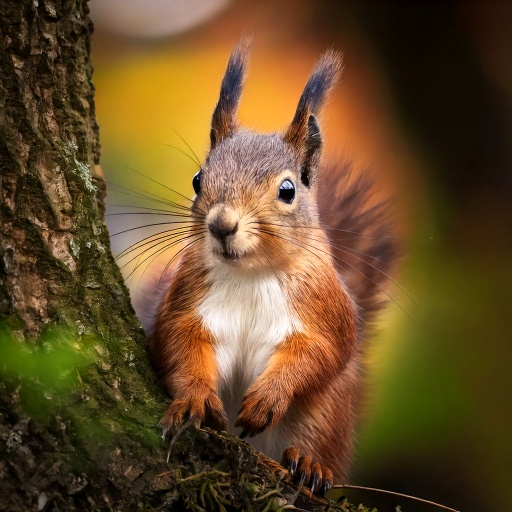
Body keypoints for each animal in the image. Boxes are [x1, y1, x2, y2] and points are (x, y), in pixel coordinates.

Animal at [139, 42, 400, 498]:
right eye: (197, 179)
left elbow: (320, 352)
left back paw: (310, 465)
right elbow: (179, 343)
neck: (250, 273)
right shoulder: (185, 301)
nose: (222, 224)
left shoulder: (324, 310)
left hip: (326, 412)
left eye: (288, 190)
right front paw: (194, 399)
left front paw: (267, 398)